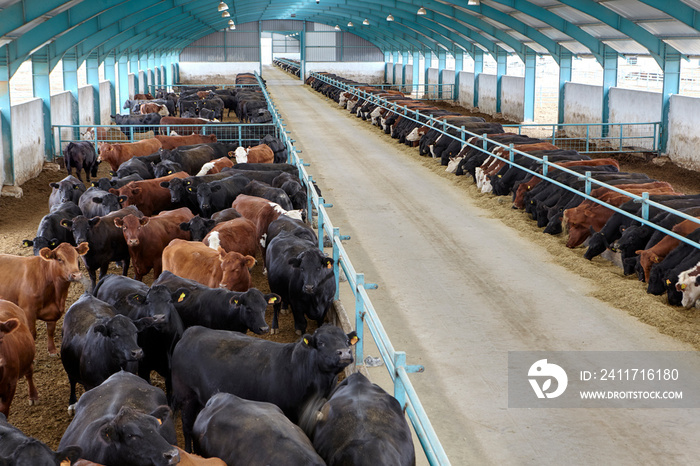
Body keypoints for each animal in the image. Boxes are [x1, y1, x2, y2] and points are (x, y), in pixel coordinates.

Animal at [170, 322, 356, 450]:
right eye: (322, 342)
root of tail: (192, 331)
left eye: (347, 341)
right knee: (187, 426)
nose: (345, 353)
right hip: (186, 396)